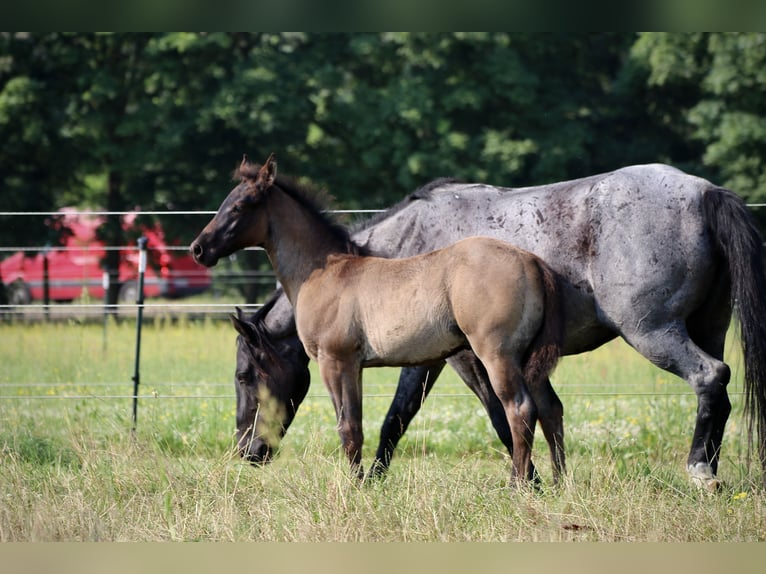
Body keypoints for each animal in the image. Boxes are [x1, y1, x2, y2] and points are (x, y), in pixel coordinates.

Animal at [192, 161, 766, 490]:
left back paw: (698, 471)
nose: (248, 452)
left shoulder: (458, 359)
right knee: (719, 388)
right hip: (706, 325)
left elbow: (435, 417)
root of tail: (704, 192)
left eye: (245, 376)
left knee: (709, 377)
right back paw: (712, 470)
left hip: (653, 331)